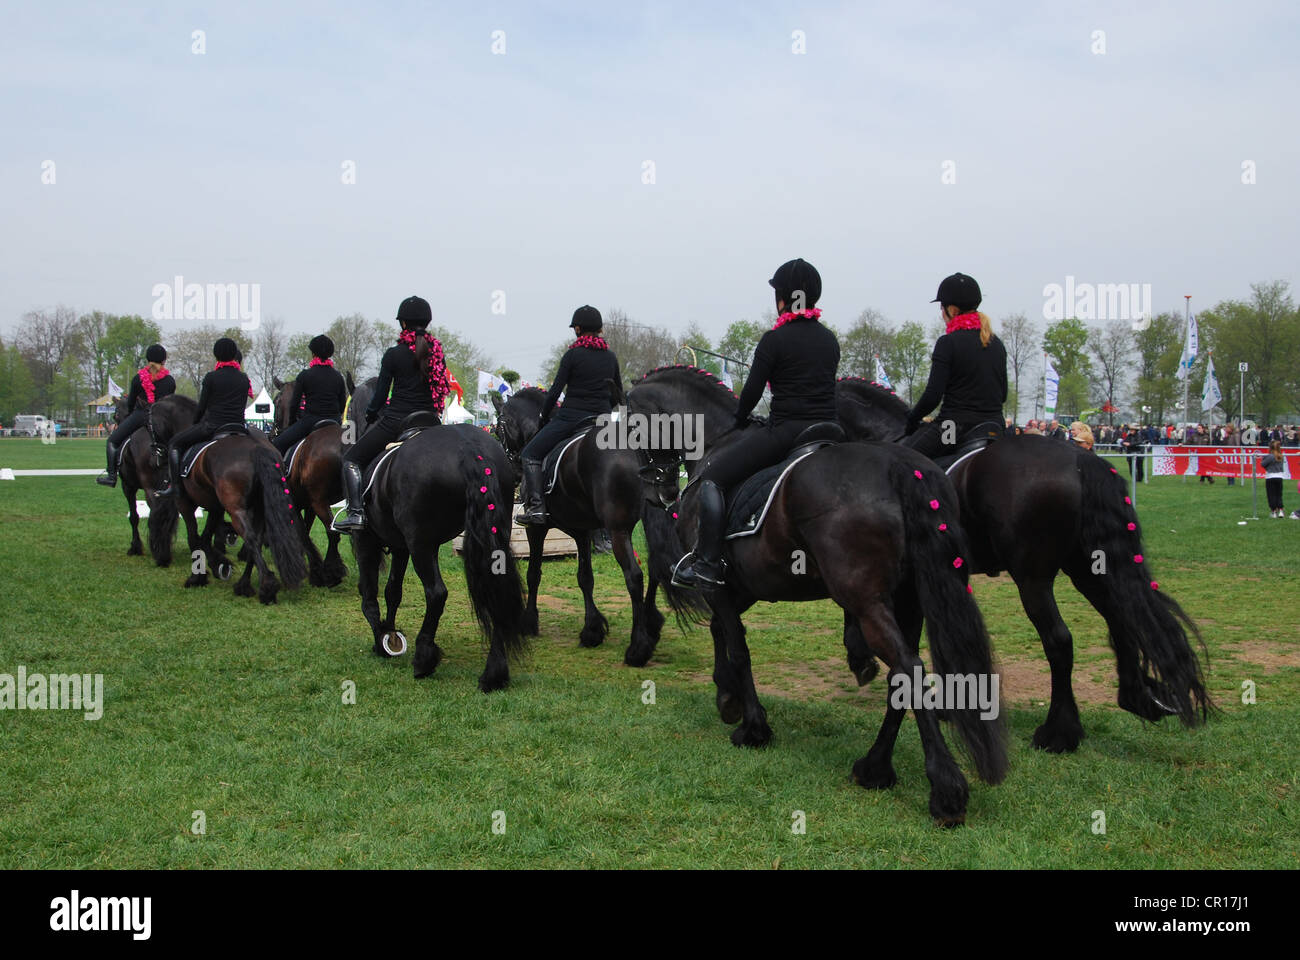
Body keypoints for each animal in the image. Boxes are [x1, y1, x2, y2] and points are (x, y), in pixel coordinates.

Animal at [111, 392, 195, 564]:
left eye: (115, 415)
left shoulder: (127, 487)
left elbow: (134, 517)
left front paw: (135, 547)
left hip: (149, 486)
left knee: (156, 510)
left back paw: (161, 552)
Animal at [348, 374, 530, 686]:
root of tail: (471, 449)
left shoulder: (366, 540)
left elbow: (369, 593)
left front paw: (382, 640)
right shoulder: (400, 547)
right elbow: (392, 590)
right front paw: (390, 635)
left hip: (422, 544)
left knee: (436, 593)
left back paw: (424, 658)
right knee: (495, 588)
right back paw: (494, 672)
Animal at [488, 390, 702, 666]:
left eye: (498, 428)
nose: (512, 470)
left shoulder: (537, 529)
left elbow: (534, 573)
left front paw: (529, 622)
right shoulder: (582, 530)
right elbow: (585, 577)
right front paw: (592, 629)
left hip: (618, 530)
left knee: (634, 576)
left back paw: (638, 647)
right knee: (657, 565)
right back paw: (651, 625)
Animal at [629, 366, 1003, 822]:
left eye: (632, 424)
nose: (655, 492)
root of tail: (900, 465)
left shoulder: (716, 579)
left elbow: (737, 645)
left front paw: (753, 726)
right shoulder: (740, 585)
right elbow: (722, 632)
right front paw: (727, 696)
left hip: (868, 599)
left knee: (908, 668)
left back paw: (945, 791)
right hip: (909, 600)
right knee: (902, 674)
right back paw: (876, 767)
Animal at [837, 374, 1211, 749]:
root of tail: (1080, 460)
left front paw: (862, 656)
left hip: (1033, 578)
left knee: (1059, 640)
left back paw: (1059, 732)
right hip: (1088, 568)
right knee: (1121, 617)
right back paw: (1138, 699)